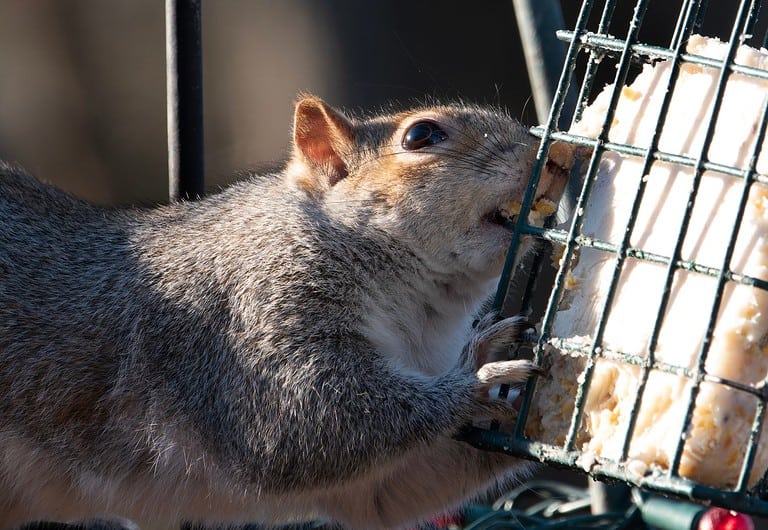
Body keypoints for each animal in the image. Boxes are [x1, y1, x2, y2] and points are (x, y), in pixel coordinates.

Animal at [0, 95, 567, 529]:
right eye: (422, 135)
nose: (557, 157)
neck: (420, 315)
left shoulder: (375, 484)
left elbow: (392, 489)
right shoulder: (245, 322)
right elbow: (300, 423)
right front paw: (482, 372)